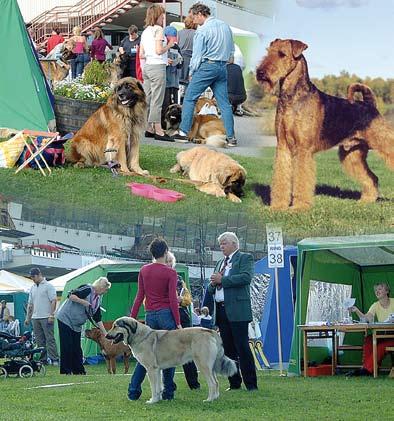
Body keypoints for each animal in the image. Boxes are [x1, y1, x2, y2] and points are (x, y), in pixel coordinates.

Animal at [105, 316, 237, 402]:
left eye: (115, 326)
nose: (106, 335)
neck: (140, 336)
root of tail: (209, 330)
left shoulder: (151, 369)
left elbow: (154, 387)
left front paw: (153, 401)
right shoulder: (157, 370)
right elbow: (158, 387)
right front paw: (158, 399)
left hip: (203, 365)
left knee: (213, 383)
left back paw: (209, 399)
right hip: (210, 366)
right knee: (217, 382)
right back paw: (215, 398)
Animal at [258, 39, 392, 210]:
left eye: (282, 54)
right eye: (268, 52)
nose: (260, 73)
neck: (292, 97)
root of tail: (370, 105)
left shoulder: (303, 149)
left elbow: (302, 180)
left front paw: (299, 207)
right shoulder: (282, 146)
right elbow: (281, 177)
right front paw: (278, 206)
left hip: (381, 141)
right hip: (352, 154)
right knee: (372, 178)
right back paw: (366, 201)